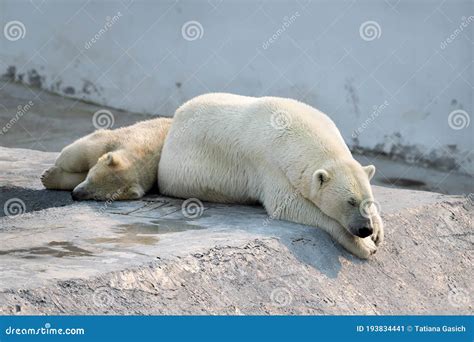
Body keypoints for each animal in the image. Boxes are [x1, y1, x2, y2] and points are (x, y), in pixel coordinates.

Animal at [40, 117, 170, 200]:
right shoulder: (124, 137)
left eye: (97, 196)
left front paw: (49, 178)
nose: (75, 195)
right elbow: (87, 150)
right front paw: (53, 169)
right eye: (90, 178)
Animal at [157, 92, 384, 258]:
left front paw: (378, 230)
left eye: (368, 201)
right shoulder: (269, 164)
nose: (365, 229)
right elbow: (287, 204)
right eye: (350, 202)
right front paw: (364, 246)